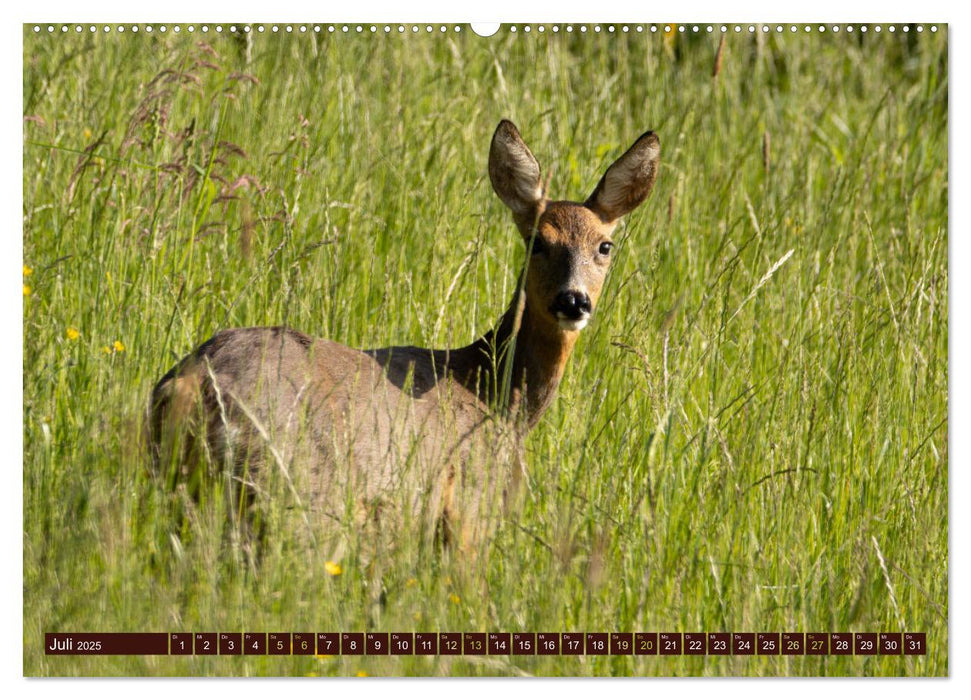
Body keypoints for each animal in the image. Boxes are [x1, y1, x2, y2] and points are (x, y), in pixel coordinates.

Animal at [150, 120, 660, 556]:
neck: (495, 393)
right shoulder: (468, 508)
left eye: (604, 246)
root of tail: (188, 383)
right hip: (292, 493)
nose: (573, 300)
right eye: (538, 241)